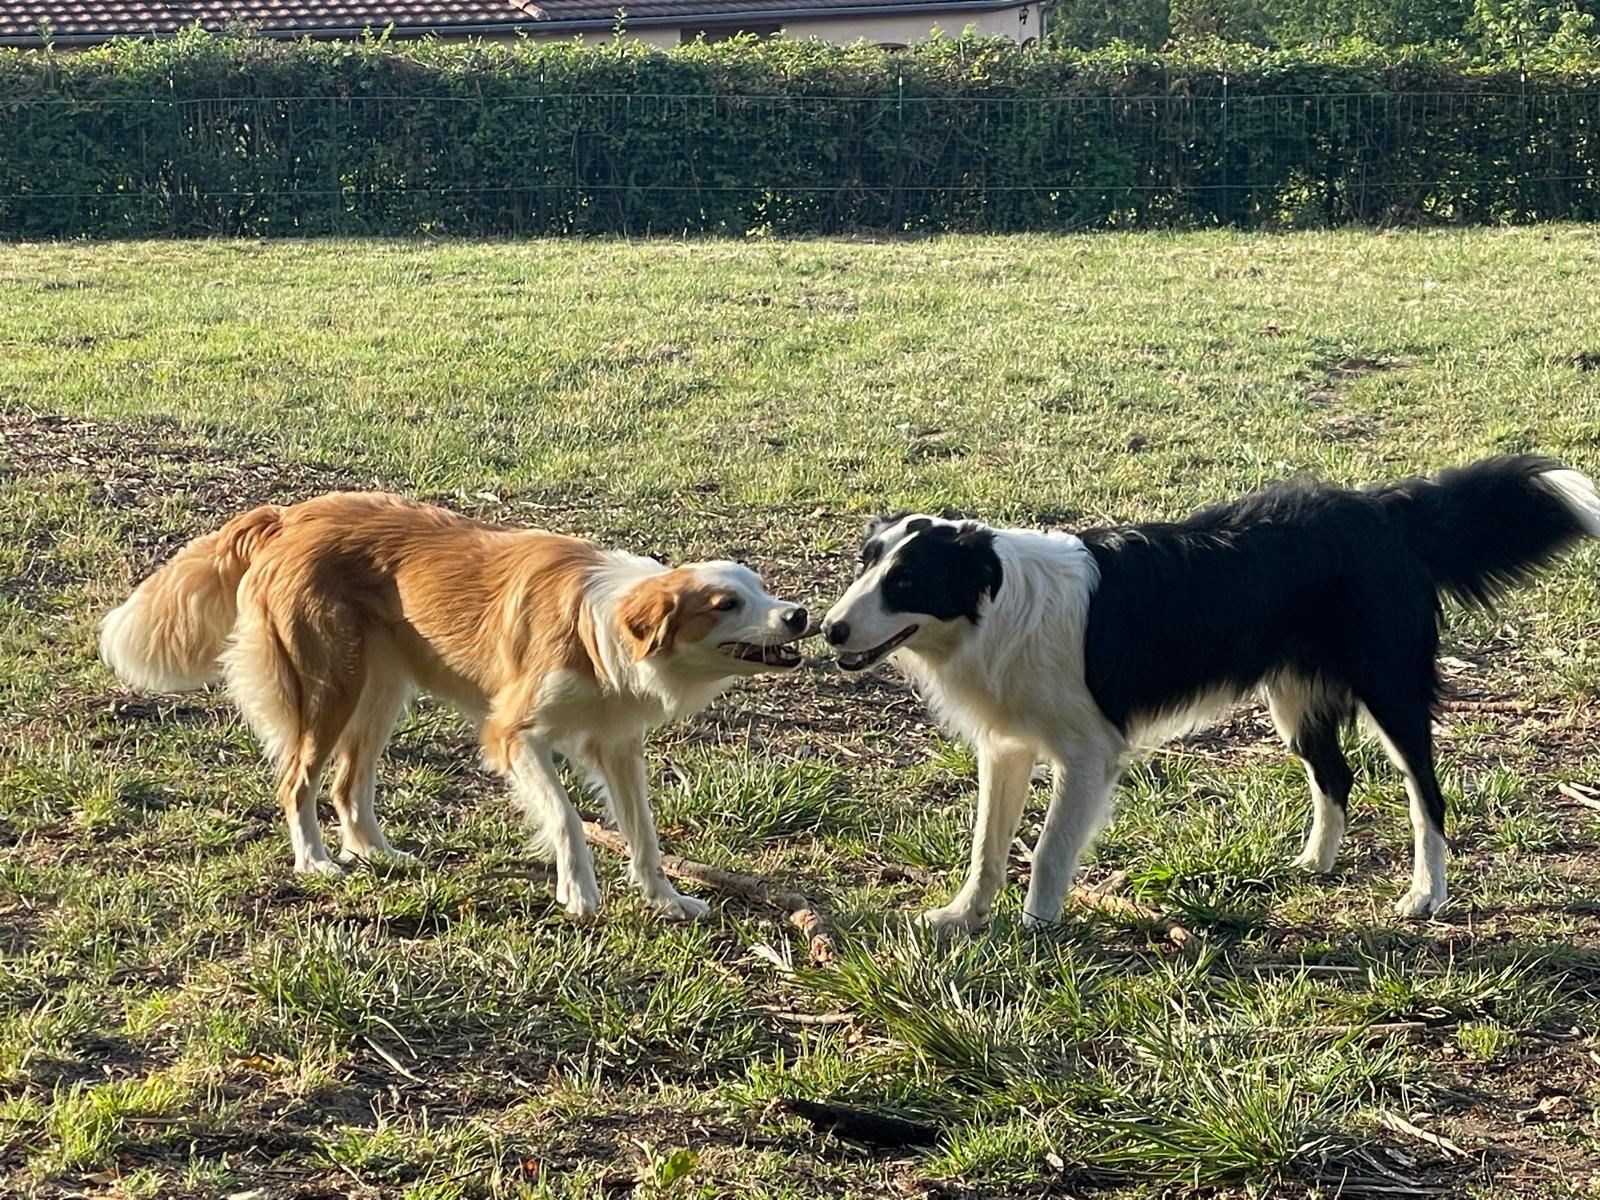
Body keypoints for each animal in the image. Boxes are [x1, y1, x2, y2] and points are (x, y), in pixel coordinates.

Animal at [100, 492, 813, 920]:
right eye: (726, 603)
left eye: (761, 587)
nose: (800, 615)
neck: (604, 626)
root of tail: (290, 515)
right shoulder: (513, 734)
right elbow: (568, 818)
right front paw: (579, 893)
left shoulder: (616, 744)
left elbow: (643, 832)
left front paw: (666, 900)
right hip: (331, 687)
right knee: (297, 780)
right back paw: (316, 863)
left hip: (379, 690)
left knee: (347, 784)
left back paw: (378, 854)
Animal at [822, 456, 1600, 928]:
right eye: (864, 565)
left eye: (906, 581)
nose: (829, 629)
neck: (998, 600)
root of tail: (1383, 509)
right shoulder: (1007, 747)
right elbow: (987, 846)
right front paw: (963, 917)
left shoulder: (1087, 753)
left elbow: (1044, 849)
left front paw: (1038, 928)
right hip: (1294, 700)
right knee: (1336, 775)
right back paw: (1314, 864)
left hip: (1391, 692)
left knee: (1426, 794)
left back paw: (1425, 894)